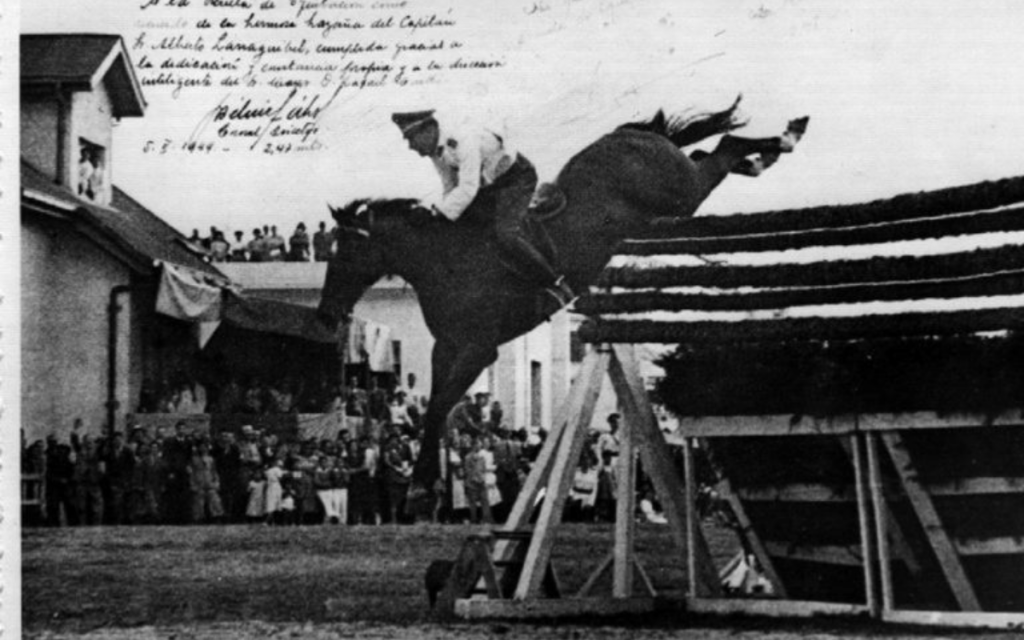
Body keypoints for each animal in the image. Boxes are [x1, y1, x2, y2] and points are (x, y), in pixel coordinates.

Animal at [319, 97, 806, 497]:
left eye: (345, 253)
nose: (326, 315)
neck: (445, 262)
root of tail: (635, 134)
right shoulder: (448, 348)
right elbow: (439, 405)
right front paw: (426, 479)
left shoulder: (478, 348)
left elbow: (441, 402)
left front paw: (423, 483)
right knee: (712, 152)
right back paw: (767, 154)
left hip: (681, 195)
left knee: (722, 147)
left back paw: (787, 136)